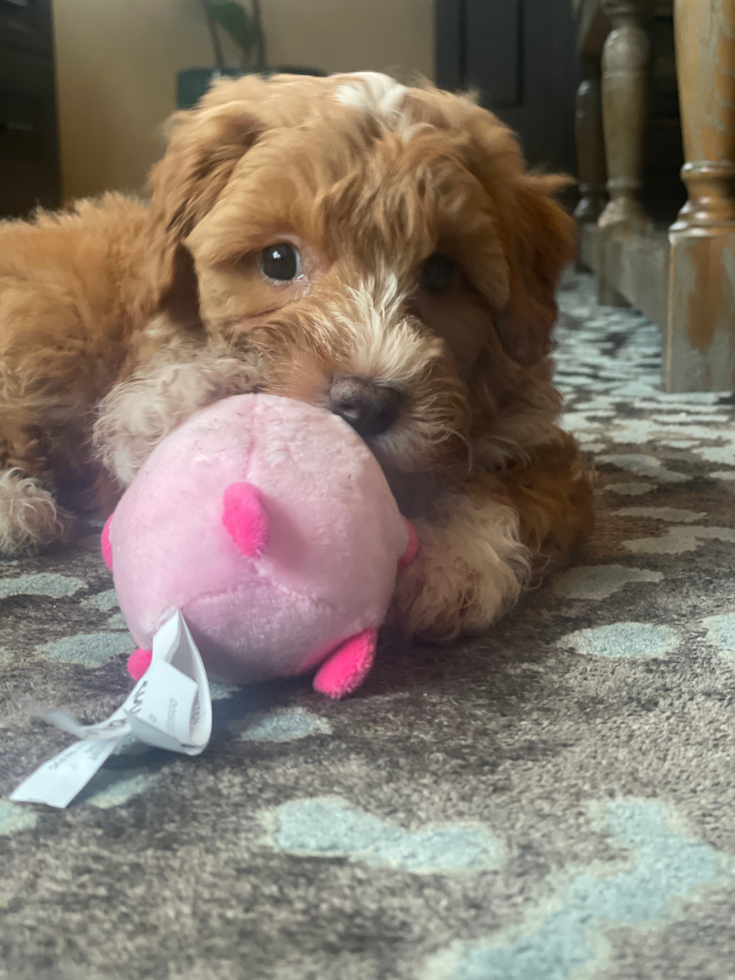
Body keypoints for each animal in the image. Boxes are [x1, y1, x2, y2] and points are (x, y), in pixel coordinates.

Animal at [0, 74, 592, 644]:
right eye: (279, 260)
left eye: (443, 272)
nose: (364, 403)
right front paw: (197, 398)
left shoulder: (532, 437)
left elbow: (510, 490)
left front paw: (450, 558)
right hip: (46, 326)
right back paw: (17, 509)